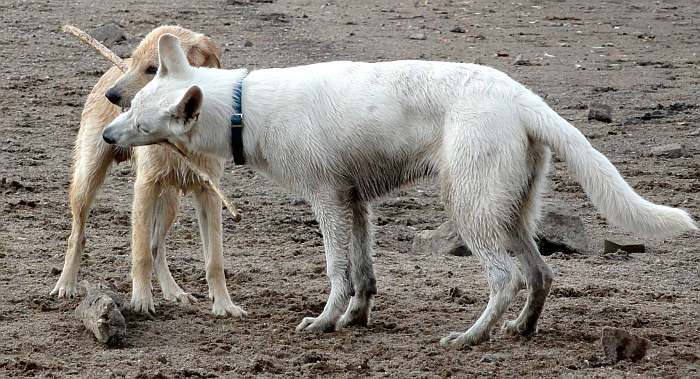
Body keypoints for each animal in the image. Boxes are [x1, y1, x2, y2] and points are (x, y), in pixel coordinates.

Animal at [51, 25, 246, 320]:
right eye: (136, 61)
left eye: (153, 69)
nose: (111, 95)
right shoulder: (145, 187)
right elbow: (140, 252)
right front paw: (141, 300)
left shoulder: (209, 193)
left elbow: (214, 259)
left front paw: (224, 304)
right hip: (88, 180)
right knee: (78, 235)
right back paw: (66, 284)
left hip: (170, 202)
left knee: (157, 246)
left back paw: (173, 291)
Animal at [101, 35, 696, 348]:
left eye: (140, 118)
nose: (107, 134)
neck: (244, 108)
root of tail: (524, 98)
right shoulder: (355, 203)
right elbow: (364, 273)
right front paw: (355, 320)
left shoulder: (328, 201)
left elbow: (338, 272)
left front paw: (325, 322)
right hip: (508, 212)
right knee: (541, 273)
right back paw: (520, 330)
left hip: (470, 209)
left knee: (505, 277)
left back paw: (471, 337)